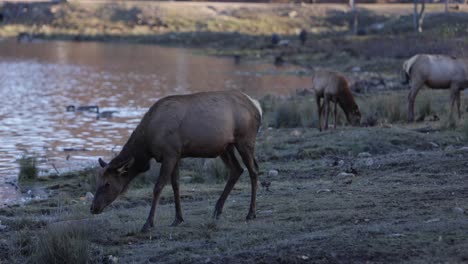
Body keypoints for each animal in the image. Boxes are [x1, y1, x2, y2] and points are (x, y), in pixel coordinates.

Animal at [89, 89, 262, 232]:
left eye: (107, 184)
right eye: (96, 182)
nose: (93, 208)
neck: (147, 144)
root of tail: (256, 106)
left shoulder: (169, 153)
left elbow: (158, 187)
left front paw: (148, 223)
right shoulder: (177, 154)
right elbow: (175, 185)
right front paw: (178, 219)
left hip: (245, 140)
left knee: (253, 171)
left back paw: (251, 213)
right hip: (226, 147)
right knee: (237, 170)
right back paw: (217, 210)